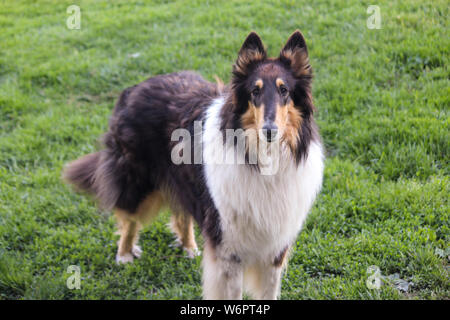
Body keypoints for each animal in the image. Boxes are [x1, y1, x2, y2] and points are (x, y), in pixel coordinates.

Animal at [63, 31, 324, 298]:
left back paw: (189, 247)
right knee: (130, 217)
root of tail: (136, 87)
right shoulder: (228, 245)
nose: (269, 131)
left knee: (182, 214)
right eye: (255, 91)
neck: (262, 159)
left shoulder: (275, 246)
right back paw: (125, 254)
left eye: (284, 90)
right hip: (137, 180)